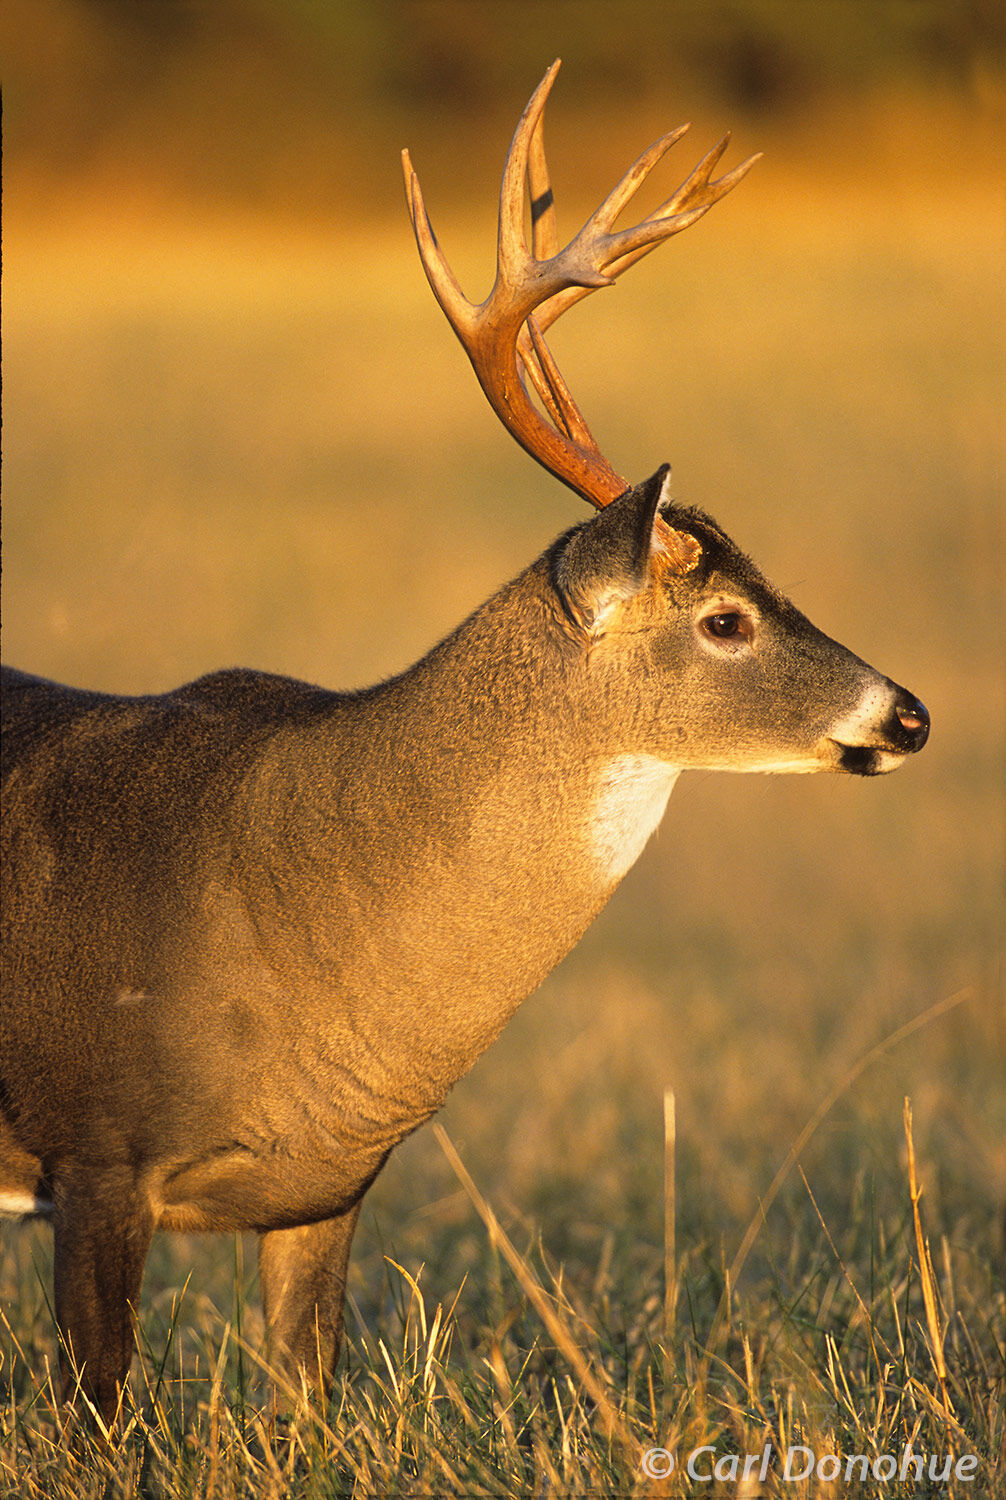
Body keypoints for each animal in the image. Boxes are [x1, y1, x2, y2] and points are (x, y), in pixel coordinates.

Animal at [0, 64, 935, 1422]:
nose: (907, 712)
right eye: (724, 619)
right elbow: (98, 1417)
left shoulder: (328, 1188)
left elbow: (307, 1408)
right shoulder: (93, 1153)